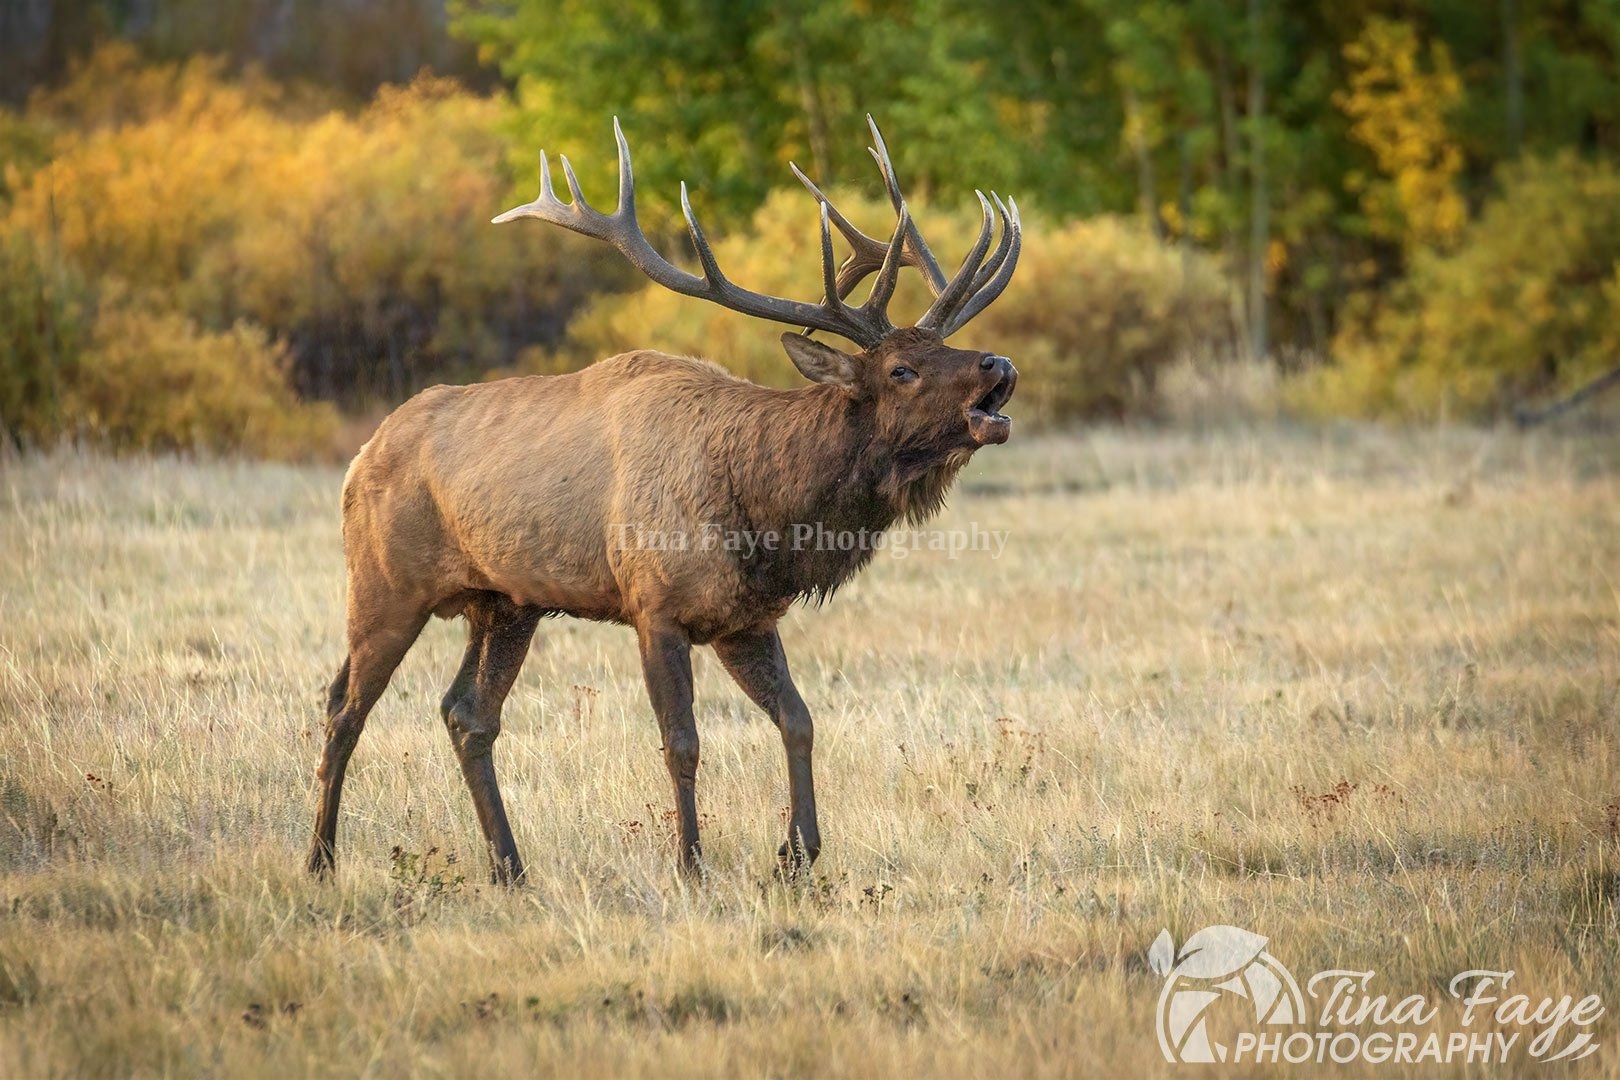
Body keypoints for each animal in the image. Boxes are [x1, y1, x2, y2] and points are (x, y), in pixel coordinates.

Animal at [307, 117, 1021, 884]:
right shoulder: (655, 605)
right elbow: (682, 740)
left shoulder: (744, 618)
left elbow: (798, 720)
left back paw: (510, 867)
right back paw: (320, 858)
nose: (1000, 365)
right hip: (385, 583)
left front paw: (797, 855)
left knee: (466, 713)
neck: (764, 518)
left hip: (505, 603)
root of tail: (362, 455)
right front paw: (691, 863)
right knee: (343, 705)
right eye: (902, 369)